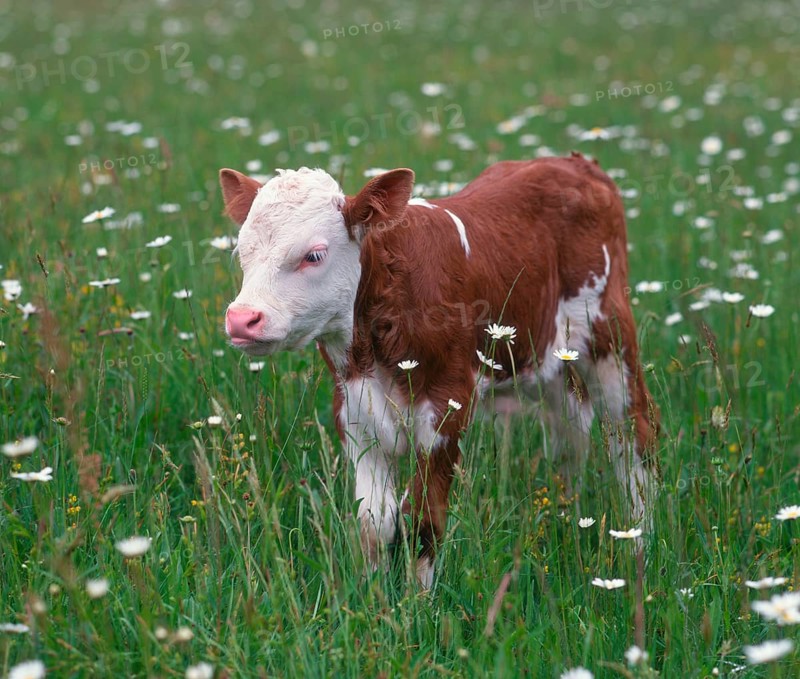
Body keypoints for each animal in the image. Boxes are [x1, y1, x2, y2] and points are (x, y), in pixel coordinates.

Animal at [219, 153, 660, 588]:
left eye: (313, 255)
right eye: (242, 253)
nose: (242, 319)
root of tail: (574, 161)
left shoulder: (448, 407)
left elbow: (422, 520)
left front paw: (419, 601)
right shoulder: (353, 411)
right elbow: (373, 522)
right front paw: (374, 597)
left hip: (611, 336)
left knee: (633, 433)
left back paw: (638, 540)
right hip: (548, 355)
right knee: (571, 429)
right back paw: (566, 515)